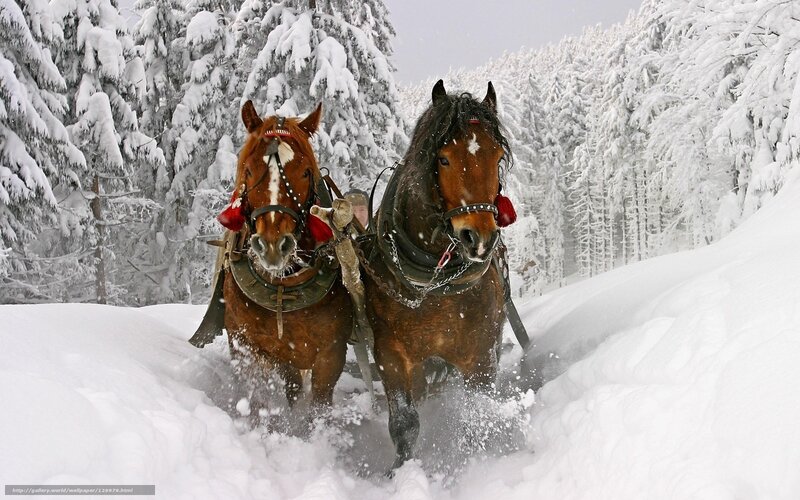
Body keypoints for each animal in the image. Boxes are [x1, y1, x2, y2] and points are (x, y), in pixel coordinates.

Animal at [191, 101, 353, 424]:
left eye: (305, 172)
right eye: (249, 169)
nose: (273, 246)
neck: (283, 287)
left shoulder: (331, 353)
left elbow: (319, 405)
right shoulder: (248, 346)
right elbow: (257, 397)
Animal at [360, 80, 513, 469]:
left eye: (497, 158)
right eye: (443, 159)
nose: (479, 238)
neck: (434, 285)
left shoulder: (481, 353)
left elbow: (477, 414)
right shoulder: (391, 355)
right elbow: (404, 423)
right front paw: (400, 471)